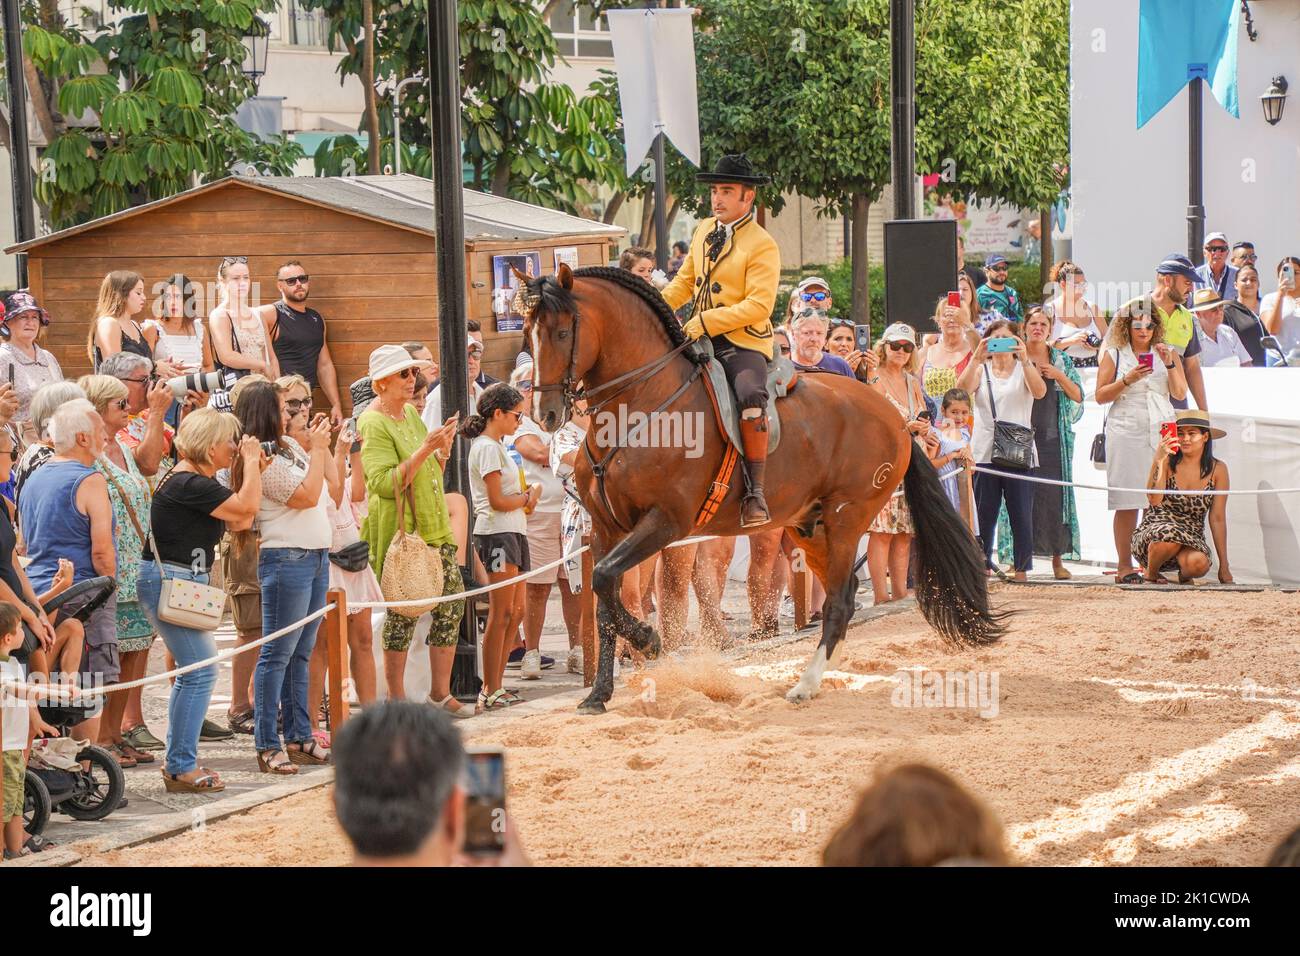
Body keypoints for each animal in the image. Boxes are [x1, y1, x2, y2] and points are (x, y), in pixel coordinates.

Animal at [521, 264, 1005, 713]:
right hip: (809, 526)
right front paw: (599, 692)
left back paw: (805, 684)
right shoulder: (606, 529)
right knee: (841, 596)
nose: (545, 413)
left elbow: (604, 581)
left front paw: (647, 639)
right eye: (528, 332)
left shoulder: (665, 522)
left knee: (839, 600)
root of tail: (896, 419)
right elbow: (603, 597)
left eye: (562, 332)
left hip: (846, 519)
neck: (641, 407)